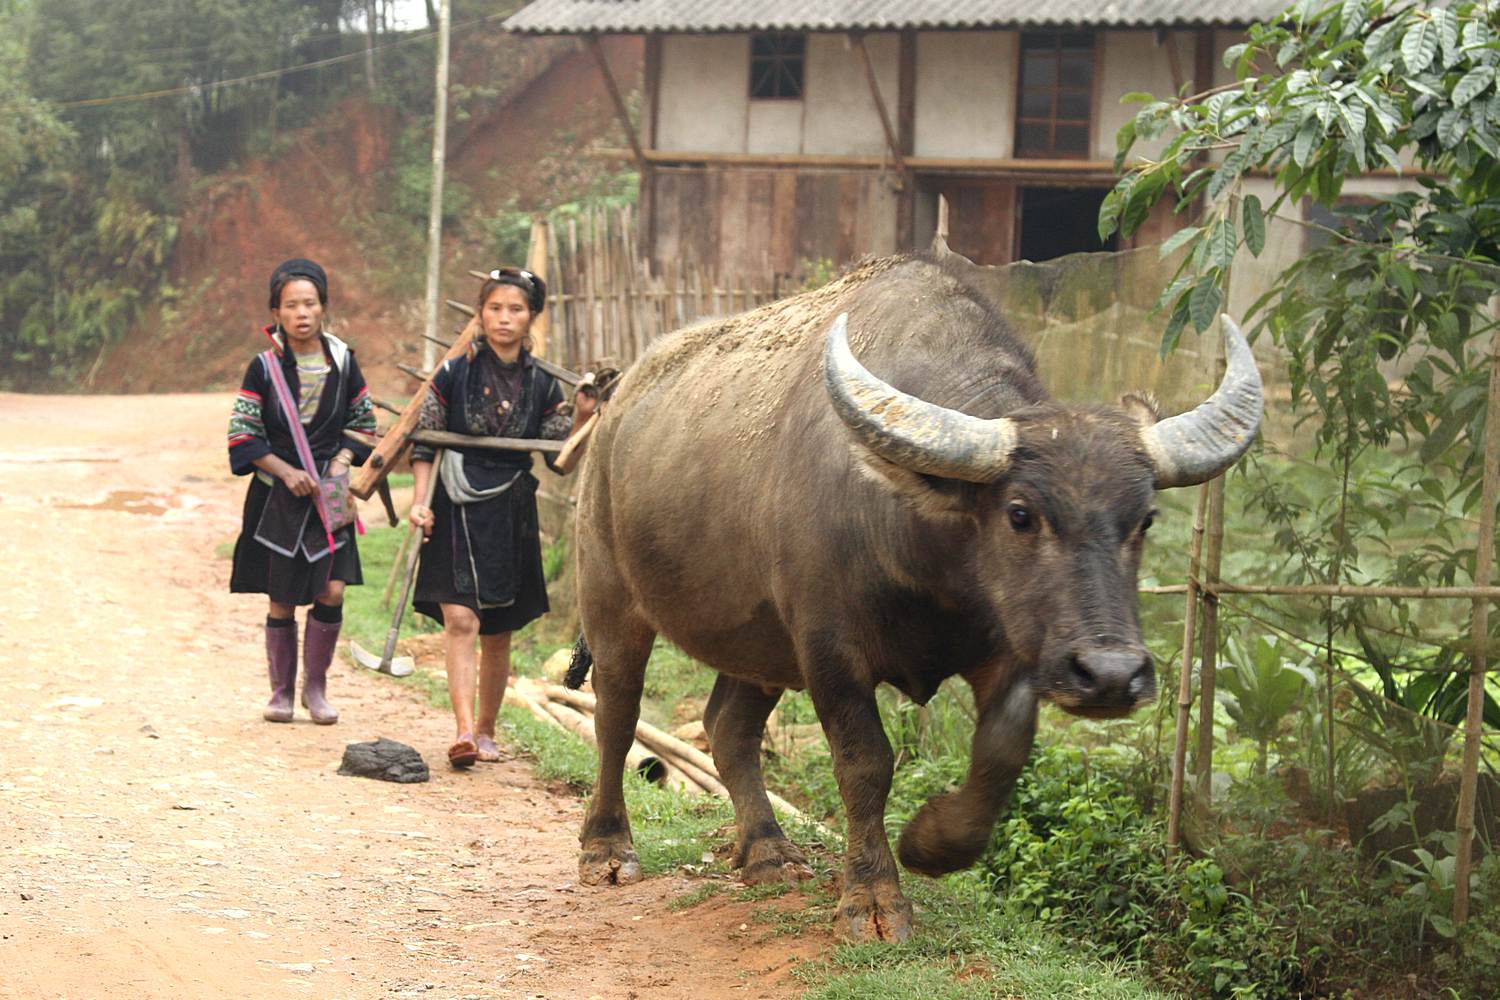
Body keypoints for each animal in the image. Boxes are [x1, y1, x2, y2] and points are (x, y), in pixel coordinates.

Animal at [567, 254, 1260, 941]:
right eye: (1020, 514)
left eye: (1144, 519)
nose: (1111, 675)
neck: (924, 551)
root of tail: (616, 408)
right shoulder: (828, 650)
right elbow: (866, 763)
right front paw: (873, 899)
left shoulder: (1011, 649)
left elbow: (1004, 751)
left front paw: (931, 843)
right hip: (610, 596)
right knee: (617, 713)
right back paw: (607, 848)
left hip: (758, 642)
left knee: (727, 727)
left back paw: (767, 851)